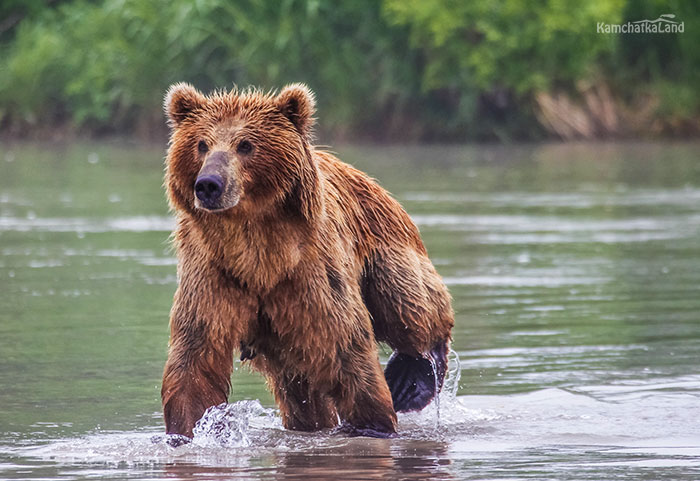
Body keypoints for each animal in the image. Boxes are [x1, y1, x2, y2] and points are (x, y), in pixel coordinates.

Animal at [160, 82, 454, 438]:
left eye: (246, 144)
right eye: (201, 144)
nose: (208, 184)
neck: (256, 248)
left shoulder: (310, 271)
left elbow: (344, 348)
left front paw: (372, 423)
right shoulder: (213, 271)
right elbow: (195, 358)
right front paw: (186, 430)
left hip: (385, 245)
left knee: (409, 303)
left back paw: (408, 379)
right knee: (301, 393)